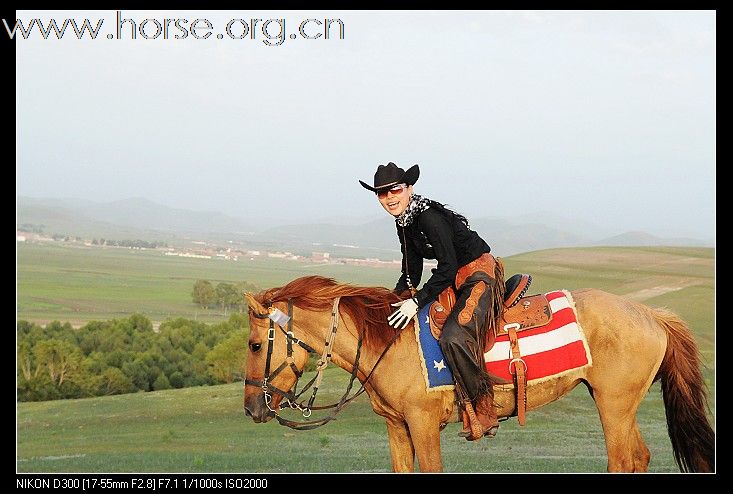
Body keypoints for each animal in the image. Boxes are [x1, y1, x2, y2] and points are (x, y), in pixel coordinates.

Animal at [243, 276, 712, 472]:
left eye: (254, 345)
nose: (251, 408)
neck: (388, 343)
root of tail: (652, 315)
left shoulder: (424, 425)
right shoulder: (397, 428)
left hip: (614, 406)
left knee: (622, 461)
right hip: (618, 404)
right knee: (640, 457)